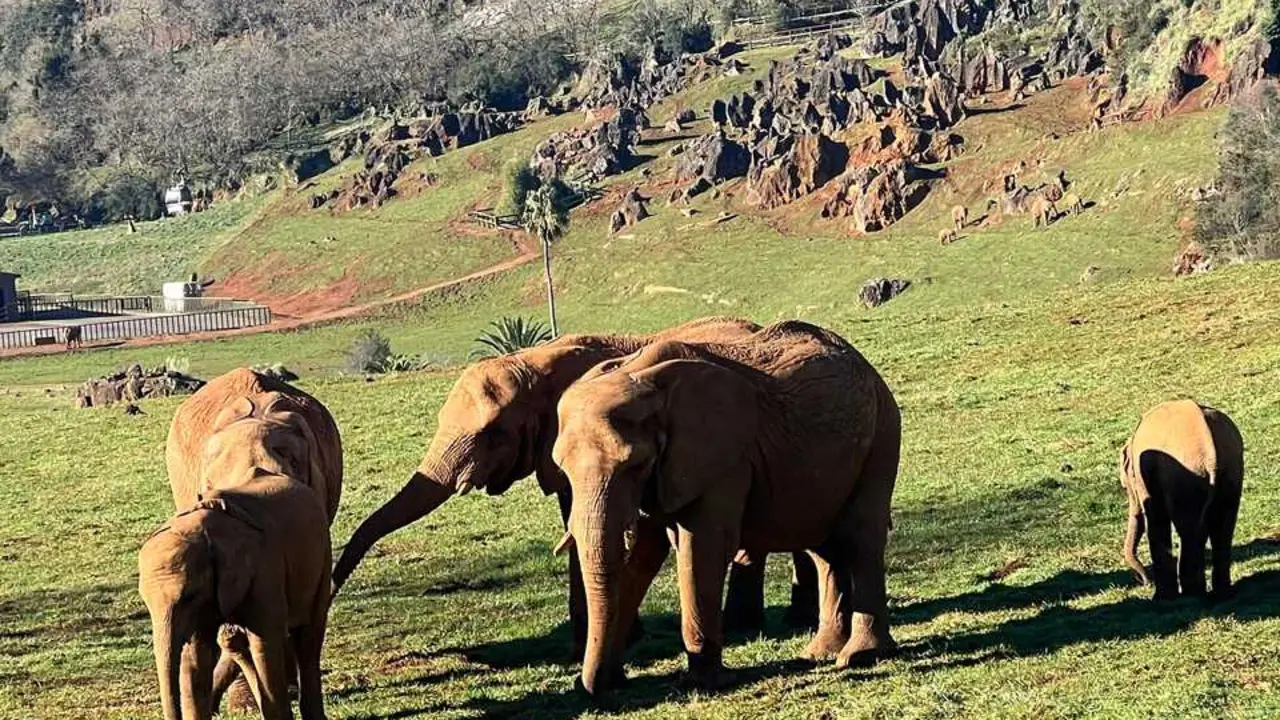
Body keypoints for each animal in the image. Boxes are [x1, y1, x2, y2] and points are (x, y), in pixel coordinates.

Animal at [138, 480, 332, 720]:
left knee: (309, 637)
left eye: (190, 596)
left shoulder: (265, 571)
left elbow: (265, 644)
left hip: (323, 560)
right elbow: (196, 658)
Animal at [551, 320, 901, 695]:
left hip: (882, 435)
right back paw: (821, 653)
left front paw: (706, 683)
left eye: (636, 464)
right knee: (822, 548)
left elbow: (704, 547)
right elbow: (643, 557)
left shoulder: (723, 460)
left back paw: (859, 656)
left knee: (860, 538)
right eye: (562, 469)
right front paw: (610, 682)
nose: (589, 687)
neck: (638, 375)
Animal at [1120, 400, 1244, 600]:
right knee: (1222, 525)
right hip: (1232, 470)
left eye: (1126, 486)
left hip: (1186, 477)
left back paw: (1191, 594)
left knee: (1189, 528)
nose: (1145, 582)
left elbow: (1155, 518)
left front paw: (1161, 598)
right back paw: (1221, 592)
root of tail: (1212, 454)